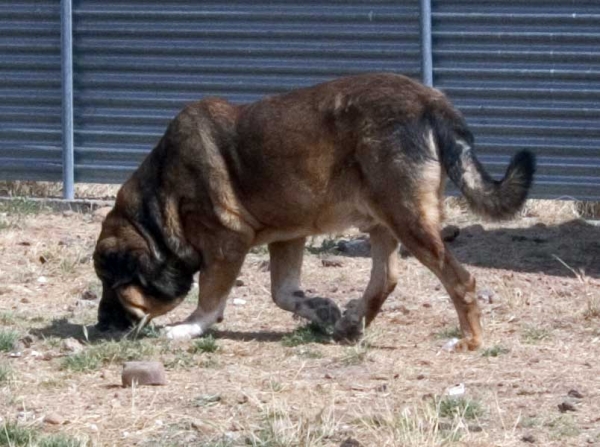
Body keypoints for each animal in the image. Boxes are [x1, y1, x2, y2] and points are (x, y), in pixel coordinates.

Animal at [92, 72, 536, 350]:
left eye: (111, 284)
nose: (99, 326)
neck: (159, 200)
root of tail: (432, 101)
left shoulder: (226, 244)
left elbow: (211, 299)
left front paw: (188, 328)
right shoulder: (288, 238)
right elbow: (283, 294)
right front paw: (320, 311)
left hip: (408, 219)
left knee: (460, 280)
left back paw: (470, 340)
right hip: (383, 220)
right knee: (386, 277)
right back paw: (352, 324)